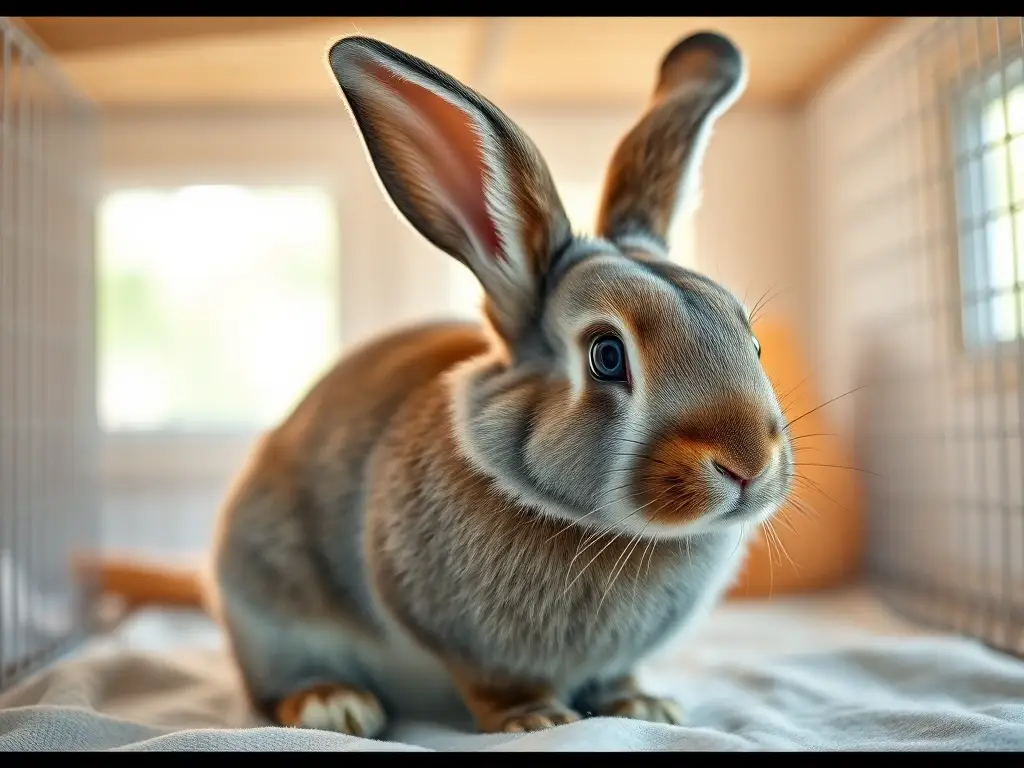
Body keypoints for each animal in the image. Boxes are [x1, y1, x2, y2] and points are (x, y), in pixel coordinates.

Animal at [203, 30, 794, 738]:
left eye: (751, 340)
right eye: (606, 356)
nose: (749, 465)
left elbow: (619, 677)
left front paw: (645, 706)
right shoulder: (459, 635)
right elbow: (495, 683)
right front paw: (538, 720)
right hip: (268, 604)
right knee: (275, 684)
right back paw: (336, 704)